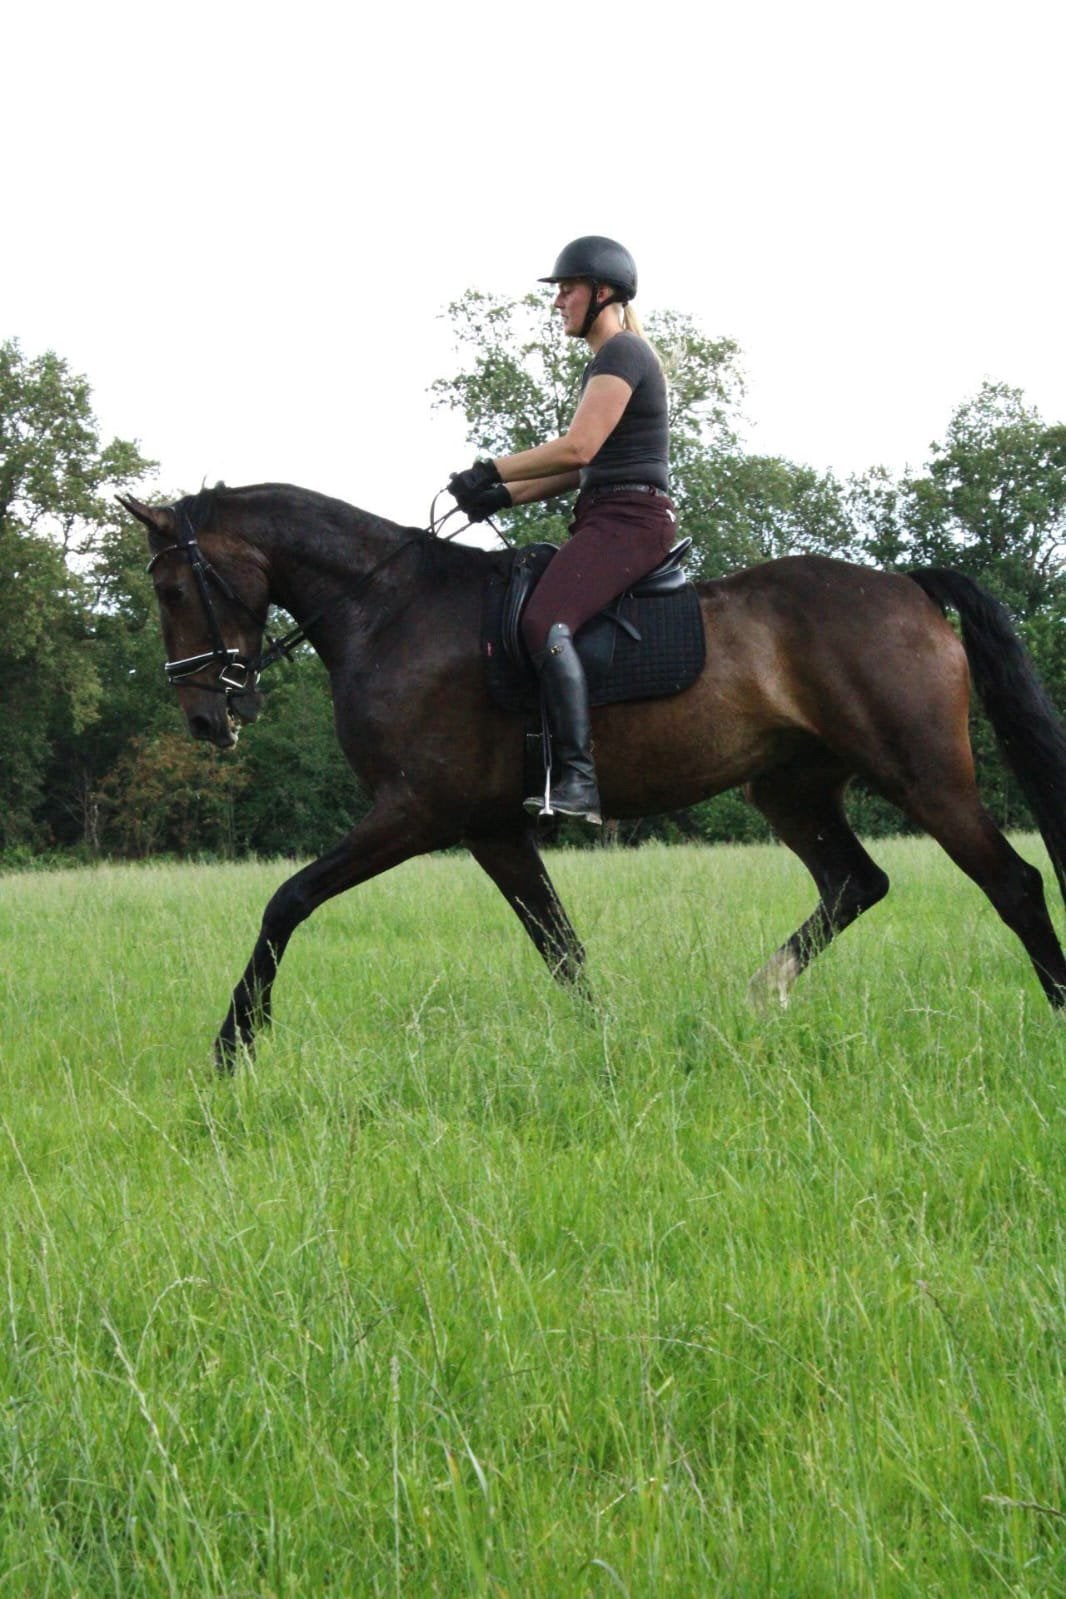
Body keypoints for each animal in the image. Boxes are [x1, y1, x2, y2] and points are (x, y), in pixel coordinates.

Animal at [119, 482, 1066, 1066]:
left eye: (172, 590)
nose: (204, 718)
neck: (388, 610)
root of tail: (904, 586)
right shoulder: (489, 828)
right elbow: (560, 945)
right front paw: (604, 1040)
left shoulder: (417, 811)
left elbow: (289, 898)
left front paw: (235, 1043)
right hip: (789, 787)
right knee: (854, 882)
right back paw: (760, 992)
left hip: (923, 774)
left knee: (1013, 882)